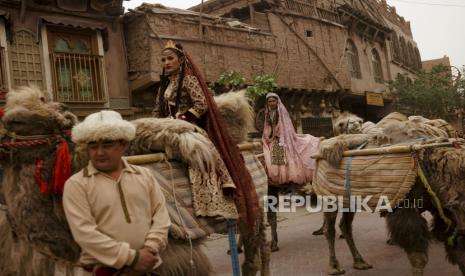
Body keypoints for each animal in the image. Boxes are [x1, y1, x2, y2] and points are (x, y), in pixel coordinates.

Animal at [312, 111, 464, 274]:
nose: (354, 125)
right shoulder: (405, 207)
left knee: (345, 226)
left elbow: (458, 250)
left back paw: (360, 262)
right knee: (330, 229)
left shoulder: (441, 208)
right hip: (329, 198)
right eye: (341, 124)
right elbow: (418, 257)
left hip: (348, 199)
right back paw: (334, 267)